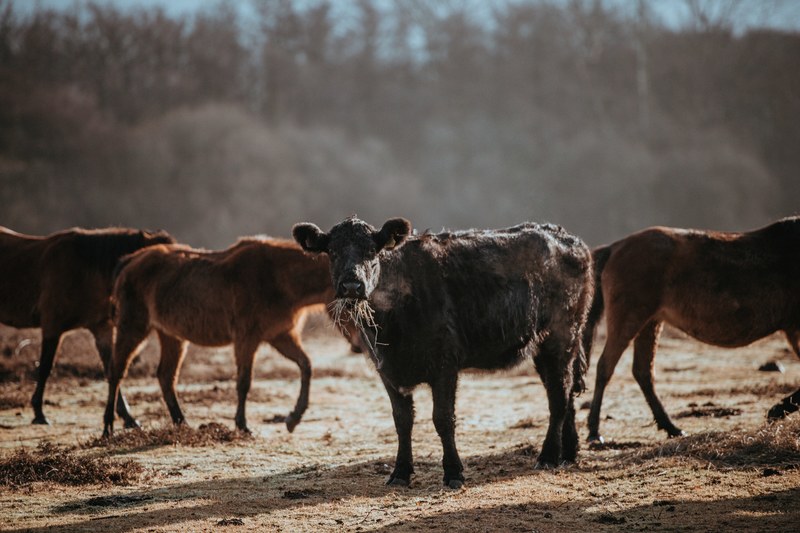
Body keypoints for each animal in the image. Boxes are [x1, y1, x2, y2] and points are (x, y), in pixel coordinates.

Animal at [293, 216, 593, 488]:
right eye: (332, 252)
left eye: (372, 251)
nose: (352, 286)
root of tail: (569, 238)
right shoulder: (387, 370)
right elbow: (402, 421)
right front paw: (400, 472)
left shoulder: (445, 365)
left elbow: (443, 419)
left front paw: (453, 472)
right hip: (547, 345)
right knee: (566, 390)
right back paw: (568, 453)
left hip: (560, 335)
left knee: (558, 395)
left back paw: (548, 456)